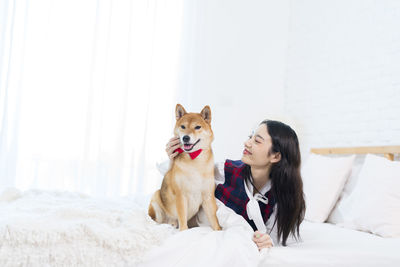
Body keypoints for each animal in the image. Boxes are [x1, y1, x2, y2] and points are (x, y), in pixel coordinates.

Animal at [148, 103, 222, 231]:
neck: (195, 162)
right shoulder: (181, 196)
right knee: (157, 220)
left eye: (197, 127)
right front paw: (183, 231)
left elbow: (214, 219)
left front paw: (219, 230)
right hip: (156, 197)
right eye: (183, 126)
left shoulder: (208, 196)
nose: (185, 138)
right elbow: (182, 219)